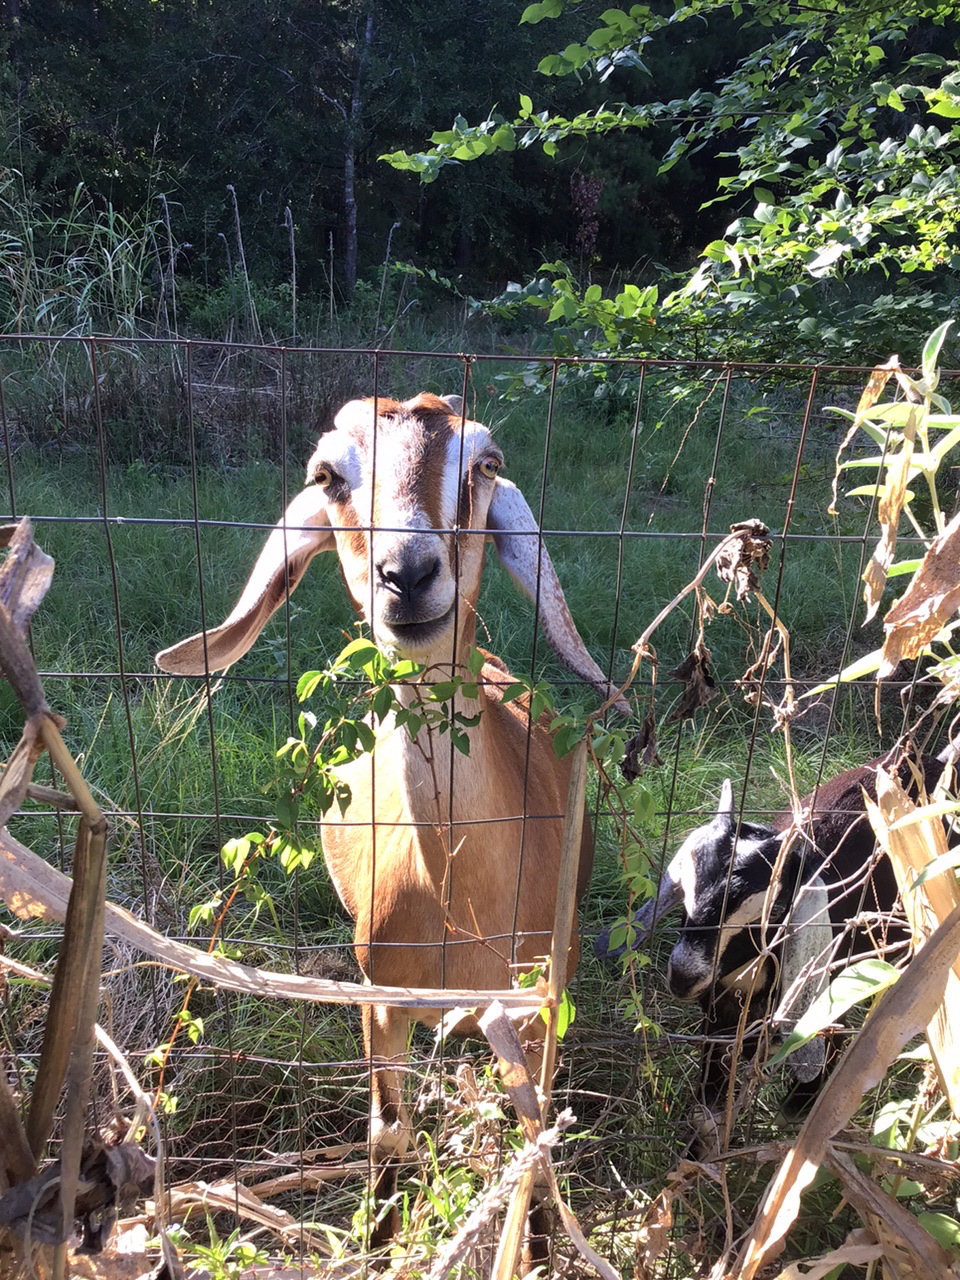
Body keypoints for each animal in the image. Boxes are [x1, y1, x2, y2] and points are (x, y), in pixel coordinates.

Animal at [156, 393, 627, 1252]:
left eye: (486, 463)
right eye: (327, 474)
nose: (406, 574)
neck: (461, 906)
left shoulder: (544, 997)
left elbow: (536, 1130)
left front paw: (540, 1242)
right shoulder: (381, 992)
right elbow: (388, 1132)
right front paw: (375, 1239)